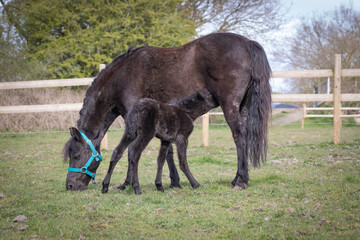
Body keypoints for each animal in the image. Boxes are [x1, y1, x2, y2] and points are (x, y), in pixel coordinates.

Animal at [64, 32, 270, 192]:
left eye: (76, 155)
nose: (70, 186)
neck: (121, 77)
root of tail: (247, 43)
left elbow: (132, 150)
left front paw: (127, 184)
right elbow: (167, 151)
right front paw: (173, 182)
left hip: (230, 106)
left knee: (239, 137)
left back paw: (239, 181)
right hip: (243, 107)